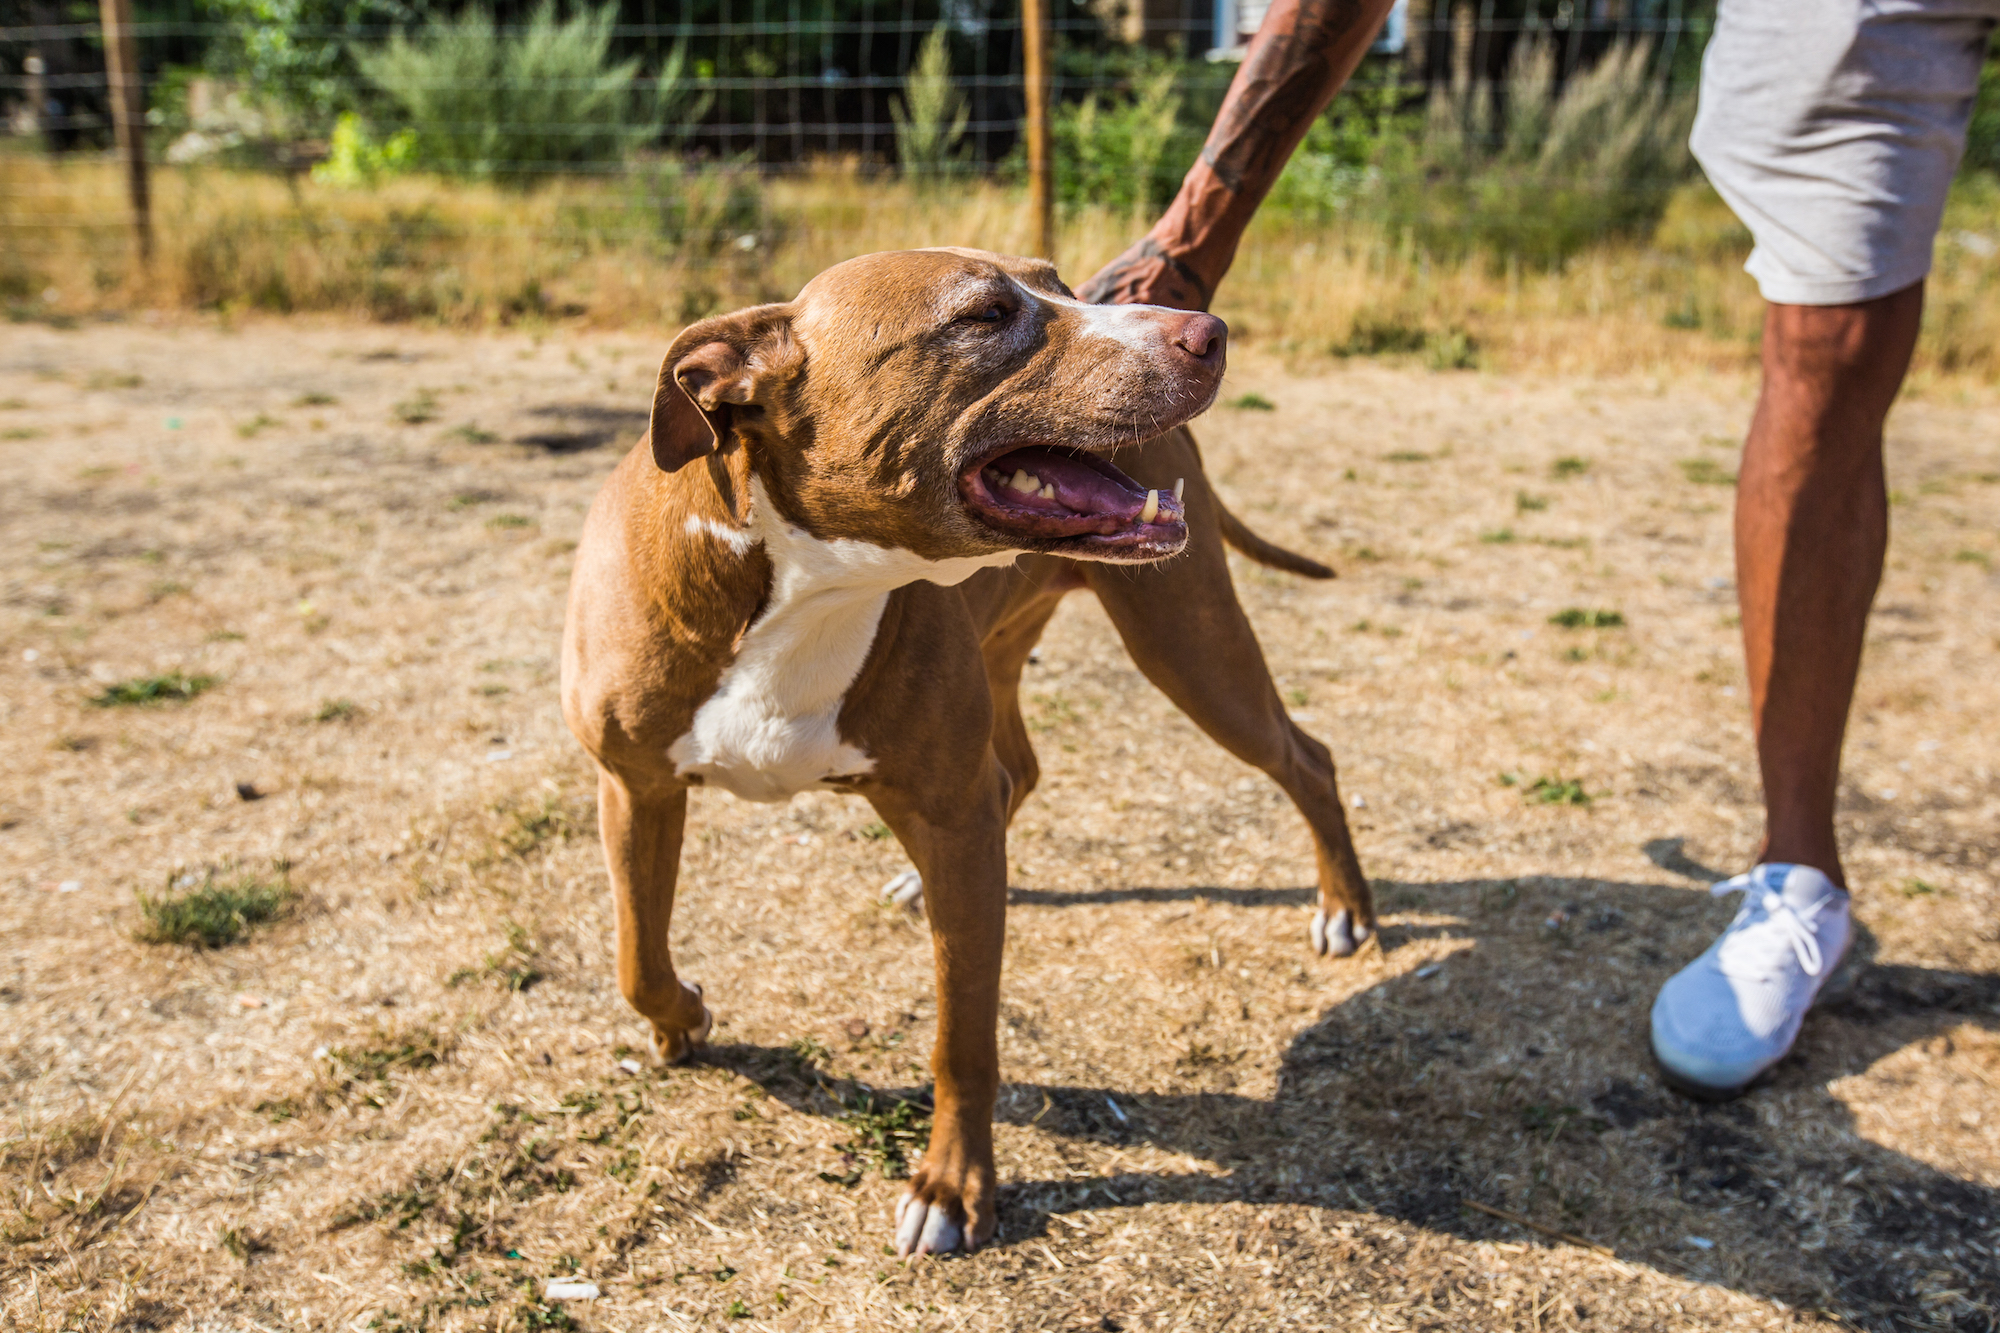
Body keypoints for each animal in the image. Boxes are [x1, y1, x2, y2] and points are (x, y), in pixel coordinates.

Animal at [564, 249, 1376, 1256]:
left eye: (1056, 284)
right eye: (984, 316)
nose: (1209, 332)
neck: (812, 583)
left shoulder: (952, 818)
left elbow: (962, 1039)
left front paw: (953, 1186)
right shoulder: (634, 785)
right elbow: (636, 953)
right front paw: (683, 1020)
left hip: (1192, 647)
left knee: (1306, 757)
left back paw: (1345, 909)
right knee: (1020, 769)